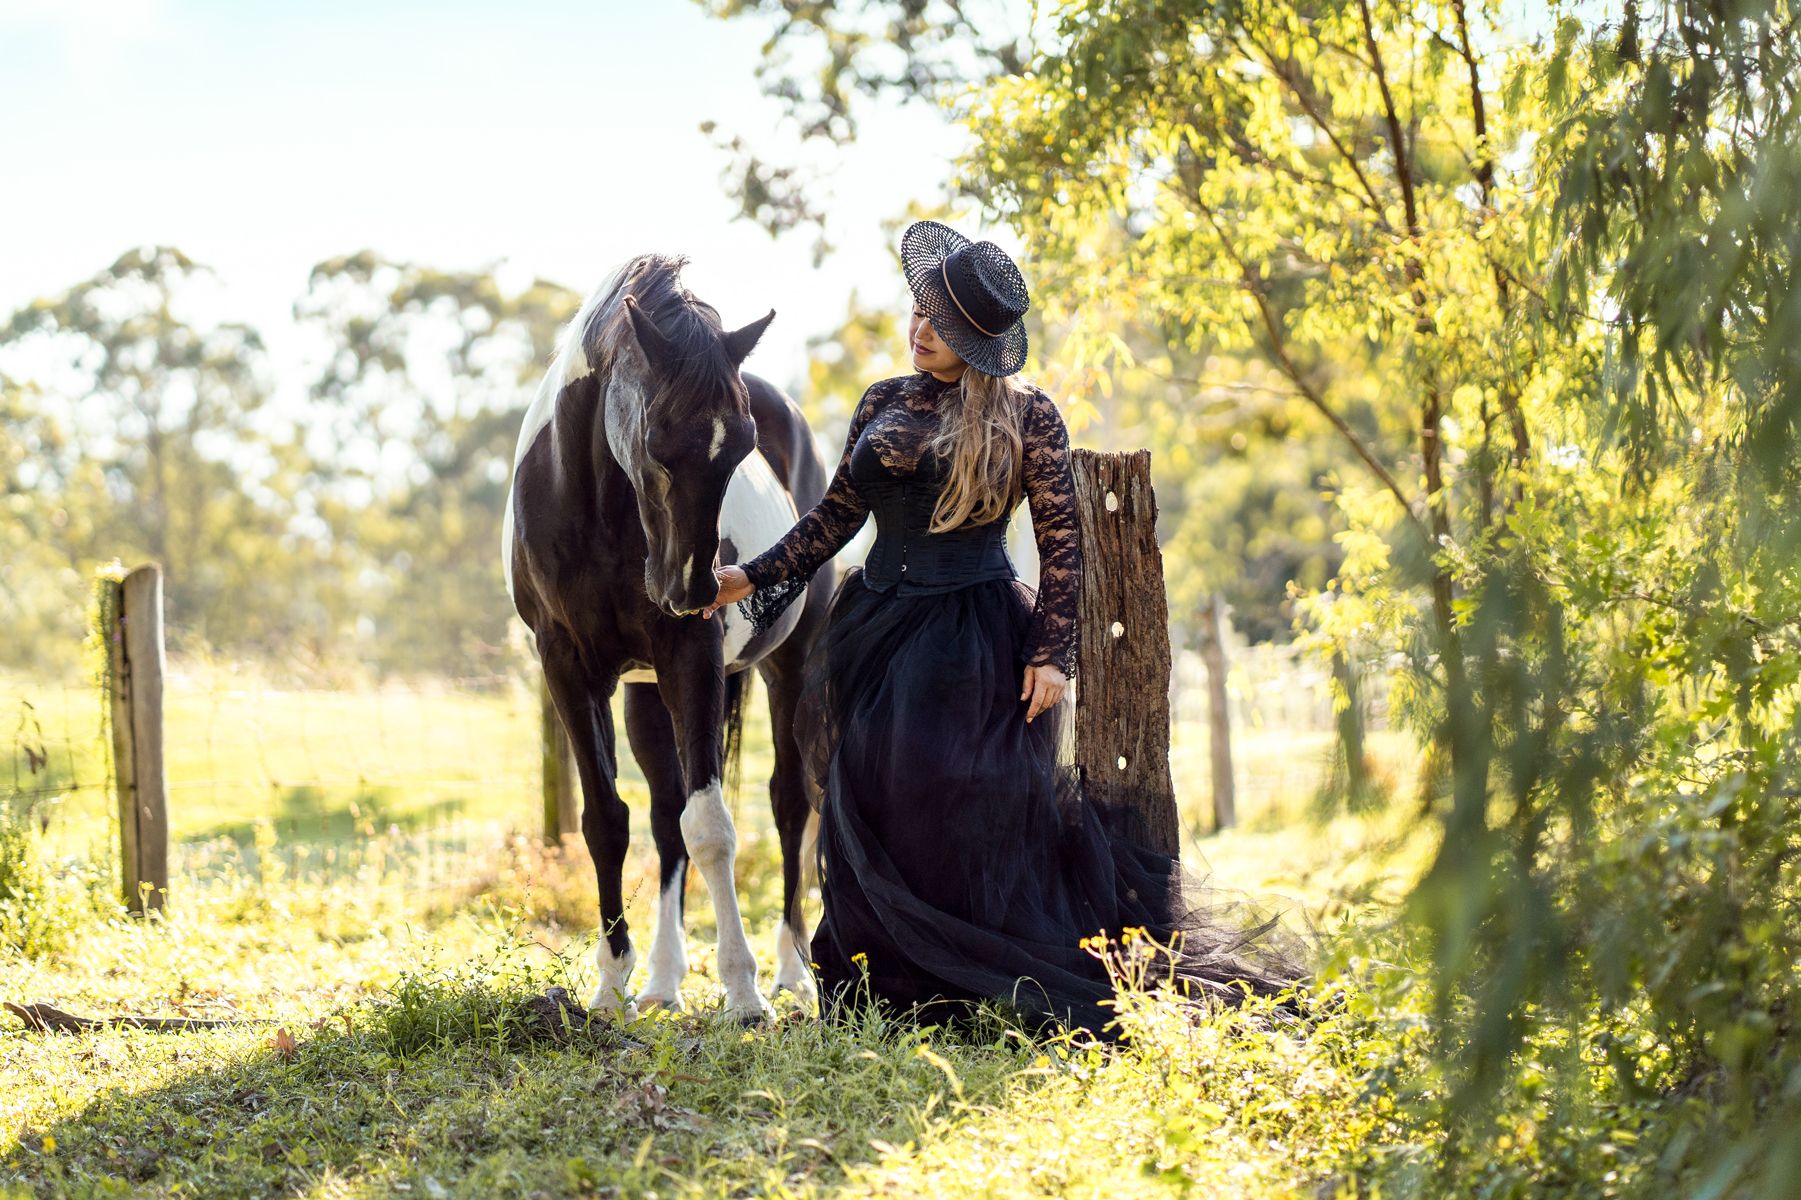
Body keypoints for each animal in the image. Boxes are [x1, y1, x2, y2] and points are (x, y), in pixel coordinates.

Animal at [503, 254, 831, 1022]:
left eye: (741, 446)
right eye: (656, 441)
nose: (692, 591)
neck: (592, 505)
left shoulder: (691, 657)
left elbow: (711, 826)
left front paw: (742, 992)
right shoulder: (566, 667)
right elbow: (608, 822)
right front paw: (609, 985)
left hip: (787, 667)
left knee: (788, 804)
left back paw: (791, 972)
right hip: (646, 696)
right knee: (661, 816)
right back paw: (662, 980)